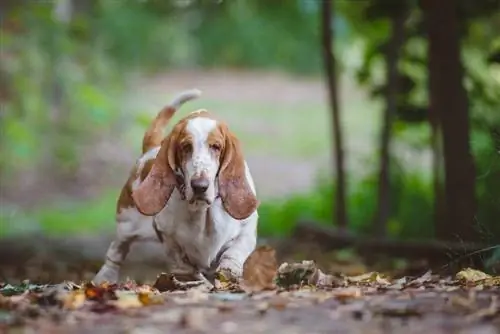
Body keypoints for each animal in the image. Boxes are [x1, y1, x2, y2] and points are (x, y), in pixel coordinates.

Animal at [93, 88, 262, 284]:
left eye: (216, 146)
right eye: (186, 147)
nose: (199, 186)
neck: (202, 211)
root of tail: (151, 149)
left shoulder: (247, 228)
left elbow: (235, 250)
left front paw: (230, 269)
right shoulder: (167, 235)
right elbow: (184, 264)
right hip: (126, 225)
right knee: (116, 252)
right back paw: (104, 278)